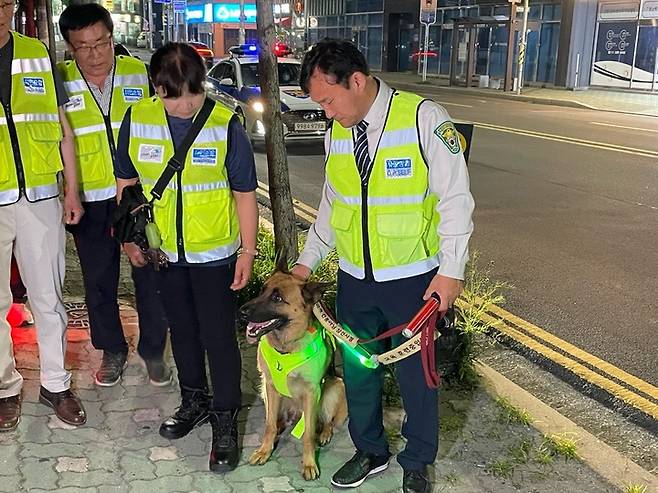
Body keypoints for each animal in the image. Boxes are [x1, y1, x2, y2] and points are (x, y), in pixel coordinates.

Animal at [238, 270, 346, 478]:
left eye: (277, 298)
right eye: (262, 290)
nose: (241, 312)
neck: (286, 348)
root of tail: (295, 415)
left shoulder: (312, 392)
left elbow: (308, 435)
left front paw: (309, 463)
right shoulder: (270, 386)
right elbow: (269, 425)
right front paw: (265, 451)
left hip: (336, 387)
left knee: (328, 421)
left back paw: (324, 433)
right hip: (265, 393)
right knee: (274, 419)